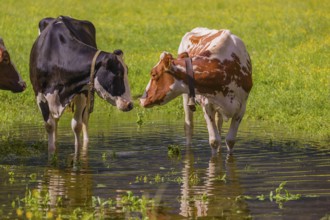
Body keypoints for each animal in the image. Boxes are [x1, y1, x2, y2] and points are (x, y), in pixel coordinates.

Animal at [29, 16, 133, 153]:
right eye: (118, 74)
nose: (130, 104)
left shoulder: (82, 92)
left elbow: (76, 125)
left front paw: (79, 153)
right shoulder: (39, 94)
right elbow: (49, 125)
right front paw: (52, 152)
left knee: (85, 119)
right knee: (56, 121)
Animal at [140, 27, 253, 155]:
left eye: (153, 74)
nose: (142, 99)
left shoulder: (241, 107)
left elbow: (230, 140)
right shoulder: (207, 105)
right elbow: (214, 140)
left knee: (218, 124)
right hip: (185, 96)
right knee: (189, 126)